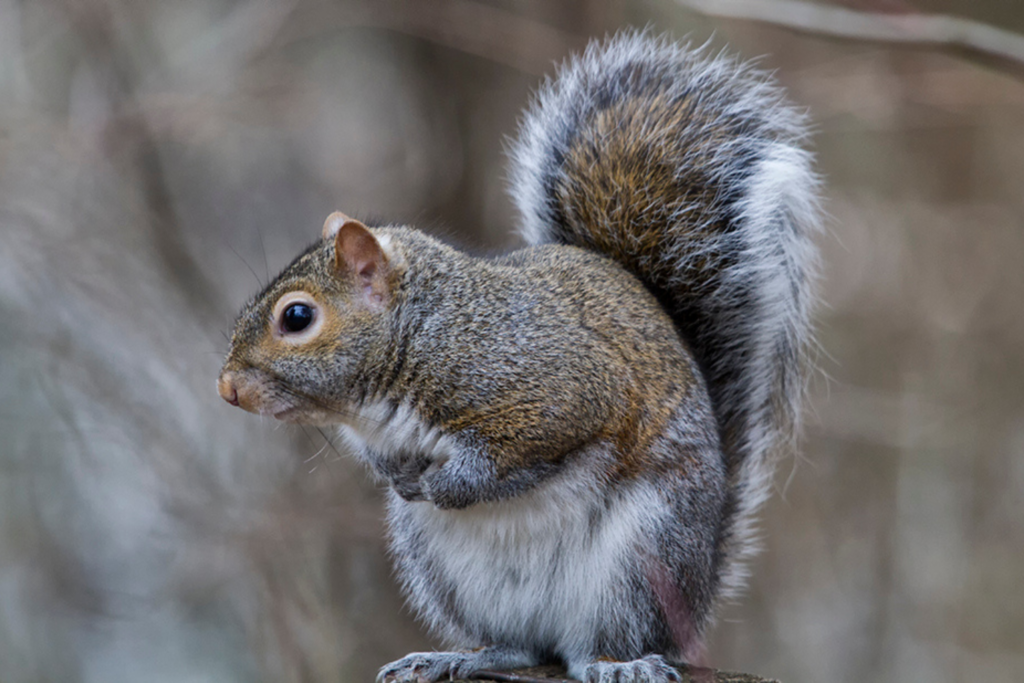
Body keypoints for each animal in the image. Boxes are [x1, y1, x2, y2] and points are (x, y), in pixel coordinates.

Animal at [217, 31, 820, 683]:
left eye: (296, 317)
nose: (226, 388)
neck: (423, 335)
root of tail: (699, 587)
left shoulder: (550, 388)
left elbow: (513, 455)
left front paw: (447, 484)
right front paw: (400, 478)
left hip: (643, 557)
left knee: (599, 641)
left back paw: (614, 663)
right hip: (445, 570)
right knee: (522, 647)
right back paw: (460, 656)